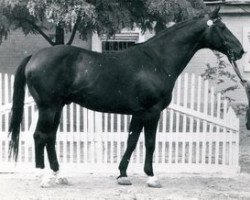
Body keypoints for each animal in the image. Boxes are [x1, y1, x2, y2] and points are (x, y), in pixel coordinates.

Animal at [8, 6, 243, 188]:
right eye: (222, 27)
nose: (240, 51)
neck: (157, 60)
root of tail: (34, 56)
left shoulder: (138, 113)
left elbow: (131, 141)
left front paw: (122, 175)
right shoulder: (152, 112)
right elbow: (149, 143)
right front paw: (152, 177)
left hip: (57, 107)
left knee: (50, 138)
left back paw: (59, 175)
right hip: (48, 107)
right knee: (40, 136)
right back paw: (43, 177)